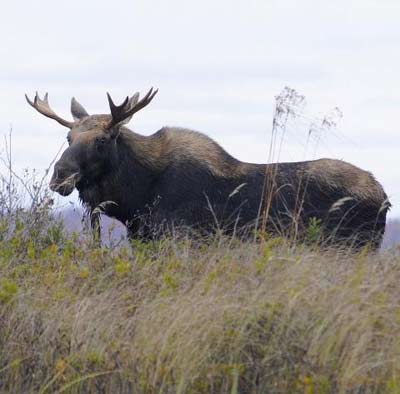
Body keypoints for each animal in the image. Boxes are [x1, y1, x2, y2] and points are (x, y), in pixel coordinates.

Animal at [26, 89, 390, 249]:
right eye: (68, 136)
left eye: (102, 140)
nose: (59, 177)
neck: (136, 195)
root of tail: (384, 197)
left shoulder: (182, 237)